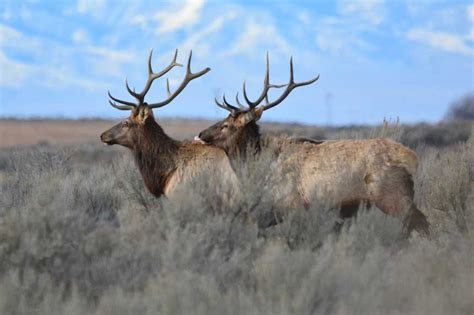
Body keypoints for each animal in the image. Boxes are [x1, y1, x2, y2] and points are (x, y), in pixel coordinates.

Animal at [196, 53, 430, 236]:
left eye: (225, 125)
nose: (199, 135)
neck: (257, 168)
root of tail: (412, 159)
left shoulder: (290, 206)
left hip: (394, 196)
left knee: (421, 225)